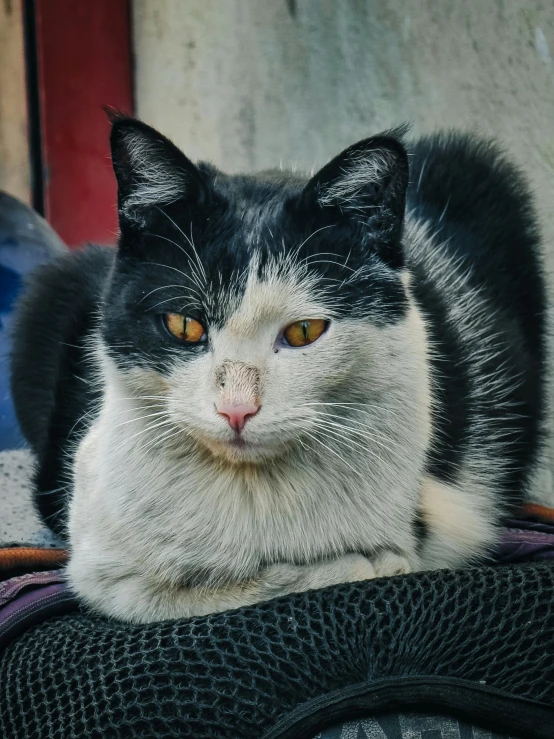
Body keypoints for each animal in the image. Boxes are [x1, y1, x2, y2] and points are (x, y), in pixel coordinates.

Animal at [10, 117, 544, 624]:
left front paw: (369, 561)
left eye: (305, 331)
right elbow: (172, 593)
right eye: (184, 325)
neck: (250, 499)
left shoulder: (454, 517)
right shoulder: (99, 565)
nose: (237, 409)